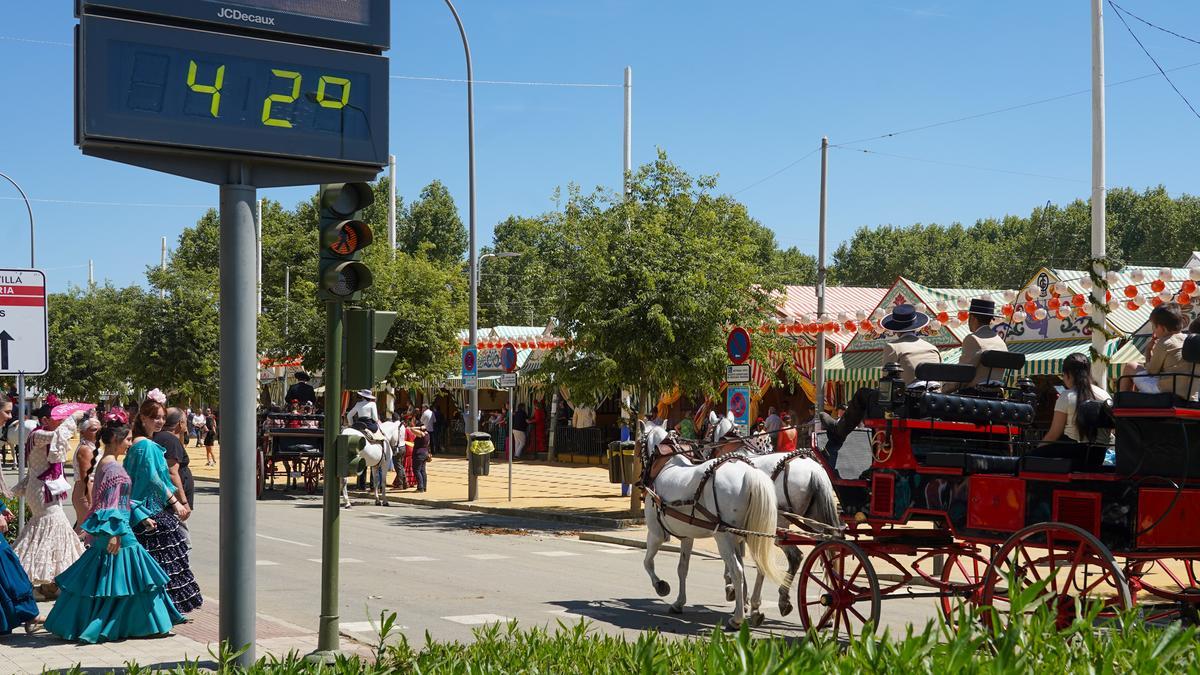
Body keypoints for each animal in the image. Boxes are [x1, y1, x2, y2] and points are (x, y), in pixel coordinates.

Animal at [638, 417, 787, 629]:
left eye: (638, 444)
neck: (665, 464)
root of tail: (749, 473)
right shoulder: (687, 536)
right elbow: (682, 568)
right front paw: (679, 602)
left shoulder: (656, 533)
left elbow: (647, 562)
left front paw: (661, 586)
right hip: (750, 535)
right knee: (758, 566)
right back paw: (755, 611)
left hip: (723, 536)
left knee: (737, 570)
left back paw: (737, 618)